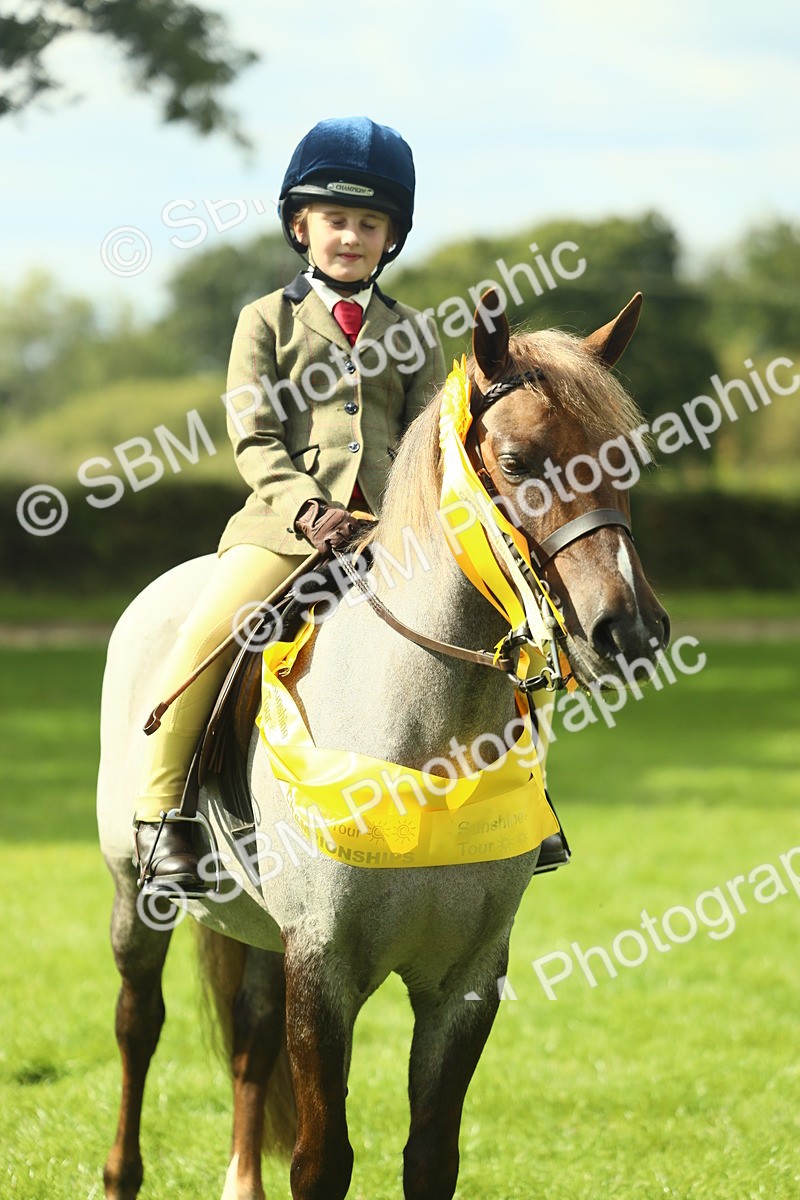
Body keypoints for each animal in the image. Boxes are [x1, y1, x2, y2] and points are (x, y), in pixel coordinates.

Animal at [97, 289, 669, 1200]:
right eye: (518, 461)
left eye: (625, 456)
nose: (631, 632)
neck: (427, 747)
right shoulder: (322, 966)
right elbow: (322, 1160)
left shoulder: (465, 979)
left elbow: (430, 1156)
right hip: (135, 895)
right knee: (137, 1024)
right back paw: (121, 1171)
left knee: (249, 1038)